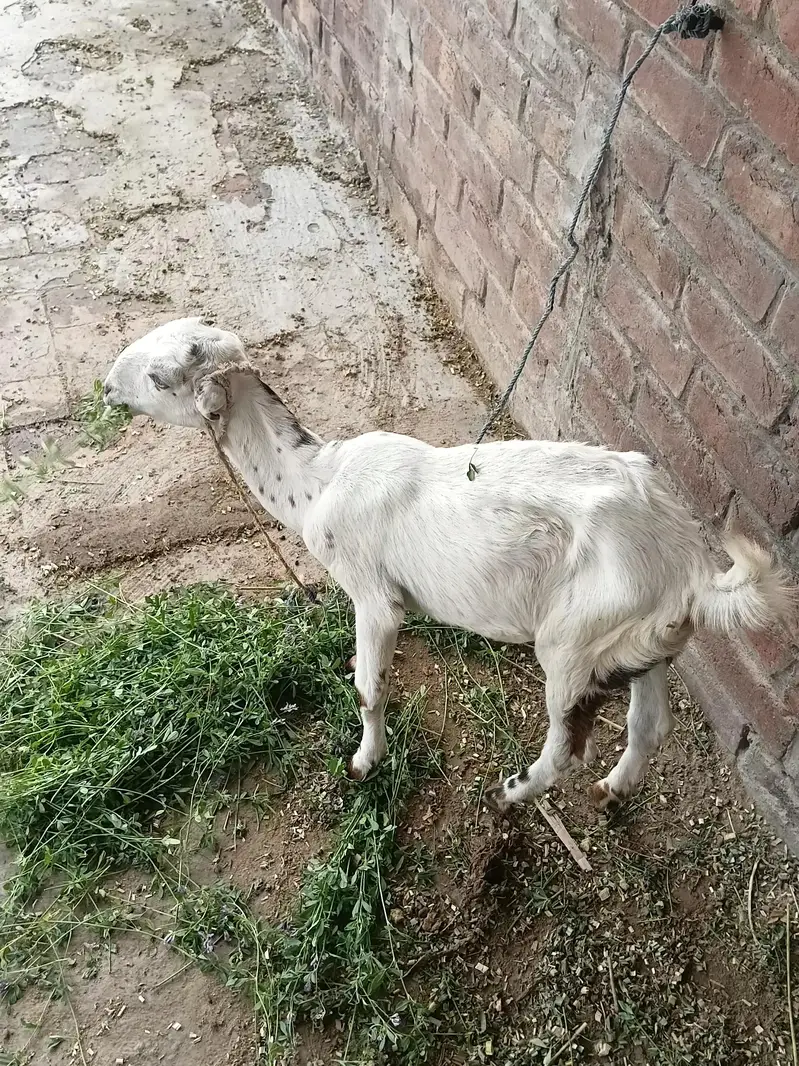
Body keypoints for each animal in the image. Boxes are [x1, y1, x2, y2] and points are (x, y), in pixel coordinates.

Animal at [103, 317, 794, 813]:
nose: (106, 387)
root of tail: (689, 564)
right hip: (639, 640)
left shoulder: (374, 596)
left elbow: (369, 684)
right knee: (649, 722)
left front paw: (365, 762)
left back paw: (511, 792)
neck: (317, 482)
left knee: (568, 744)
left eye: (160, 377)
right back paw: (612, 790)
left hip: (573, 640)